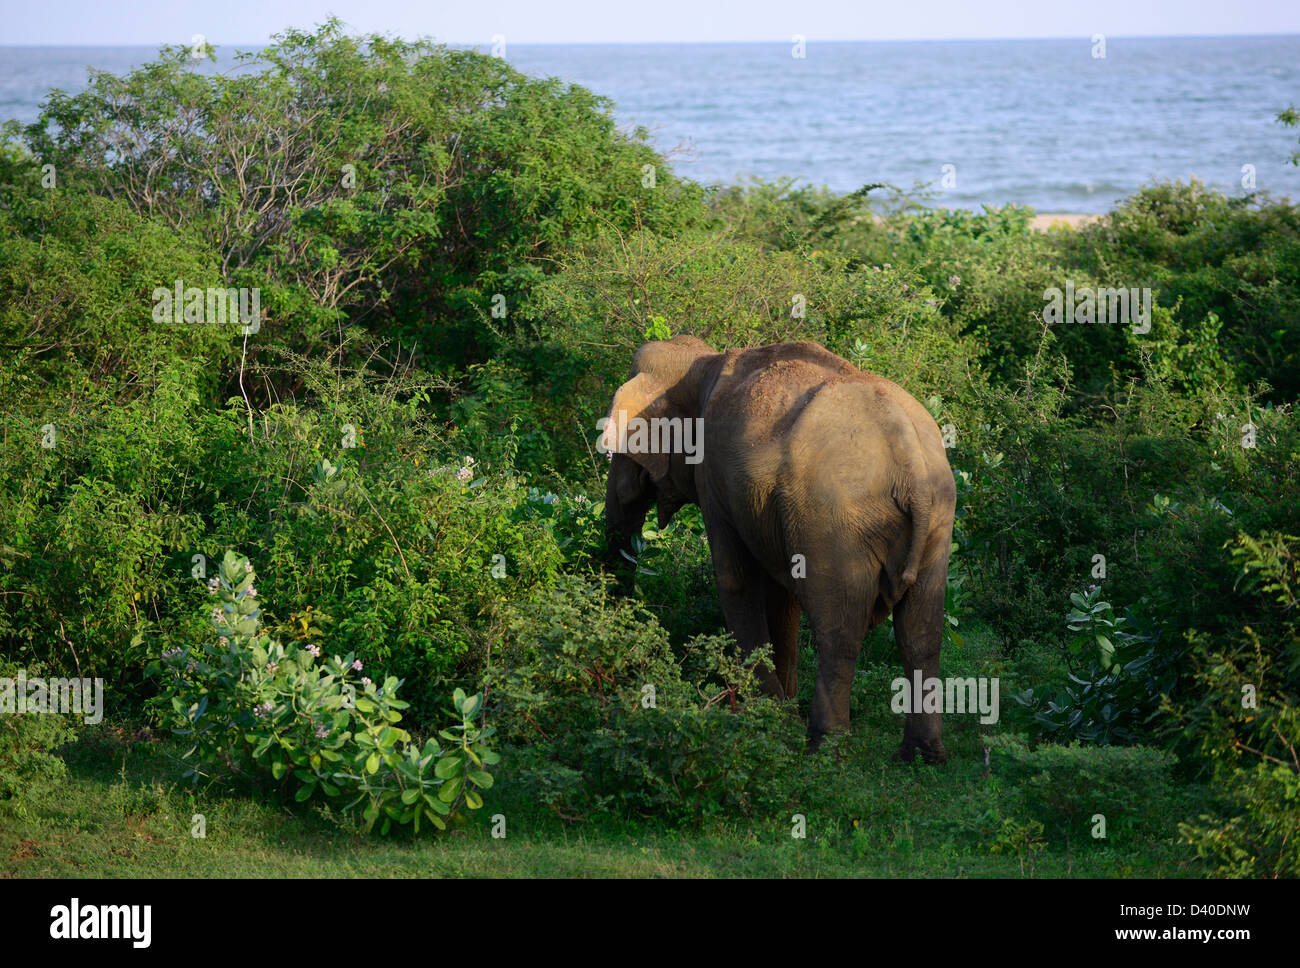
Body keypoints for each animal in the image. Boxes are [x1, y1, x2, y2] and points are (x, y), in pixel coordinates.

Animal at [598, 335, 956, 758]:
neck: (703, 361)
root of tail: (909, 459)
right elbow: (784, 598)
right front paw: (782, 715)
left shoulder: (714, 479)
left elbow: (735, 582)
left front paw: (766, 718)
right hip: (937, 518)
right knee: (922, 635)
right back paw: (921, 756)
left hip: (834, 517)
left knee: (839, 633)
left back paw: (824, 748)